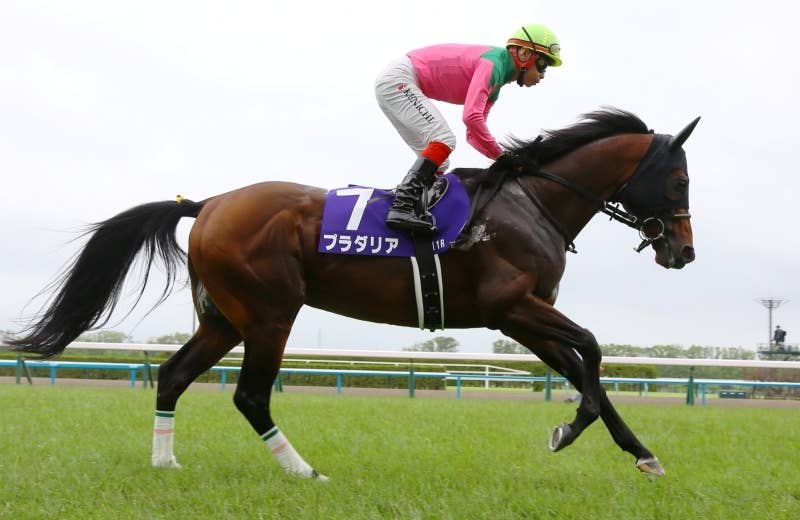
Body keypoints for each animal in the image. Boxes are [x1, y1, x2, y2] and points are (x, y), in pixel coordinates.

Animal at [9, 107, 699, 481]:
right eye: (679, 182)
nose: (684, 252)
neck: (531, 205)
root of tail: (208, 203)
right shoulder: (513, 307)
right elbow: (593, 352)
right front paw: (568, 430)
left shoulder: (524, 318)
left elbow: (585, 369)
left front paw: (642, 456)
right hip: (270, 311)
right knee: (251, 395)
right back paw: (305, 471)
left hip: (224, 319)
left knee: (174, 376)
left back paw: (166, 464)